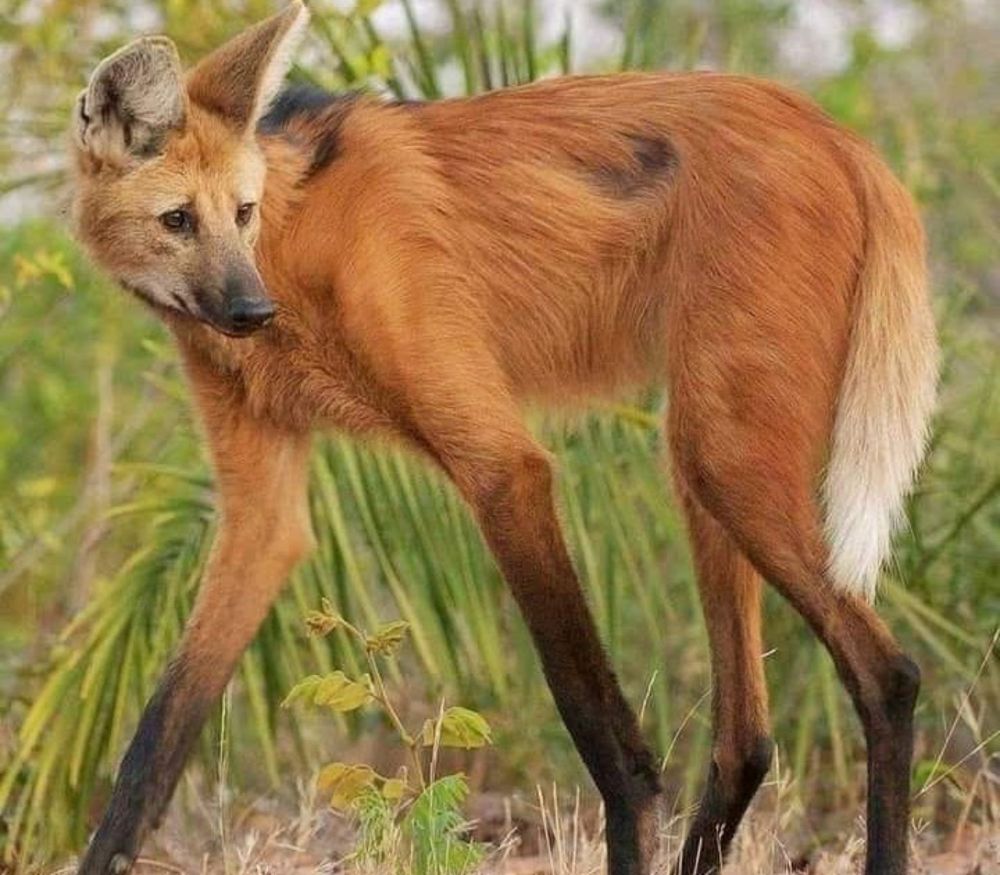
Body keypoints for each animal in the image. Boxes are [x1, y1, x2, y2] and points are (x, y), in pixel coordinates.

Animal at [70, 3, 936, 872]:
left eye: (240, 213)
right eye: (178, 220)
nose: (252, 312)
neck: (294, 245)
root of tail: (841, 136)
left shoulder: (503, 466)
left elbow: (599, 727)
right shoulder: (262, 514)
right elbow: (157, 735)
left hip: (724, 459)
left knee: (886, 674)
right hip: (703, 461)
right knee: (745, 739)